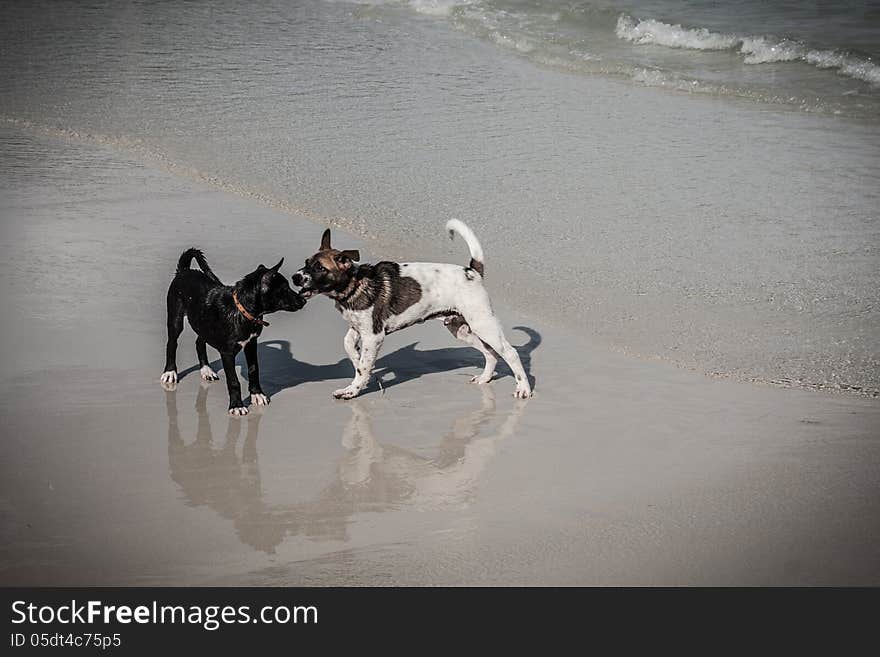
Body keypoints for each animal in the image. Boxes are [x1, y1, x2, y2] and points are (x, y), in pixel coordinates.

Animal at [162, 249, 306, 412]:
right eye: (285, 289)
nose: (303, 300)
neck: (242, 311)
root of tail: (184, 270)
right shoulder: (227, 353)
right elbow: (233, 381)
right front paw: (237, 405)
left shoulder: (251, 344)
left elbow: (254, 370)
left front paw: (257, 395)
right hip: (175, 318)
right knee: (172, 343)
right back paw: (170, 372)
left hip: (203, 322)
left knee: (199, 342)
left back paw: (206, 370)